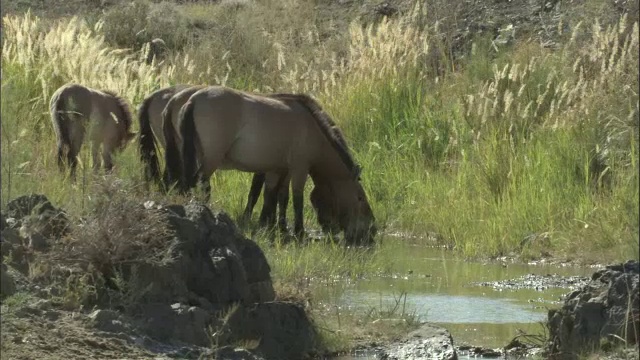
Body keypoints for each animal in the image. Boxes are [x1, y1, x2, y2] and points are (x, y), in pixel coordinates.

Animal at [165, 85, 378, 243]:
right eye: (360, 197)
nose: (372, 230)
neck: (311, 127)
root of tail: (193, 99)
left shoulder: (278, 169)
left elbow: (275, 196)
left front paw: (272, 226)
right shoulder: (299, 168)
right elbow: (296, 198)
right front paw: (298, 232)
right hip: (211, 159)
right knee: (199, 183)